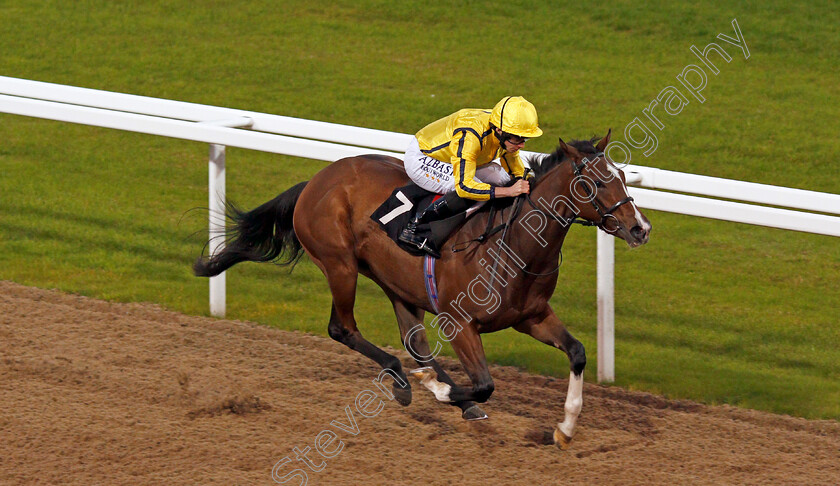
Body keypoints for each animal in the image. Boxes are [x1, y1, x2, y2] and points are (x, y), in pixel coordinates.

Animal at [195, 131, 648, 450]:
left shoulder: (532, 316)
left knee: (414, 342)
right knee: (343, 329)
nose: (640, 228)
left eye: (623, 176)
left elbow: (578, 352)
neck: (515, 242)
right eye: (594, 184)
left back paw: (442, 390)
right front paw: (441, 389)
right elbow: (485, 384)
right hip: (340, 265)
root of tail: (316, 180)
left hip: (397, 283)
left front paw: (565, 429)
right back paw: (406, 379)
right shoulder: (460, 322)